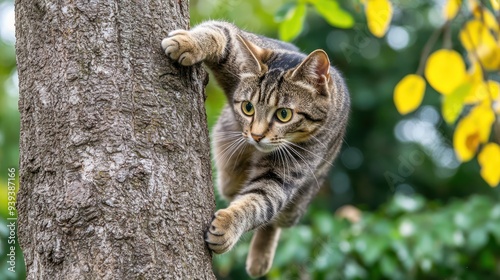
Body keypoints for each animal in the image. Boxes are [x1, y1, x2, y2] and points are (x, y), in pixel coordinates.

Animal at [162, 20, 350, 276]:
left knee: (274, 223)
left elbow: (258, 202)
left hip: (298, 203)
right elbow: (218, 32)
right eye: (248, 108)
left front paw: (228, 226)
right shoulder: (233, 45)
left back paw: (259, 259)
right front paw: (187, 42)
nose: (256, 135)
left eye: (284, 114)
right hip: (228, 176)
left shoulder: (282, 175)